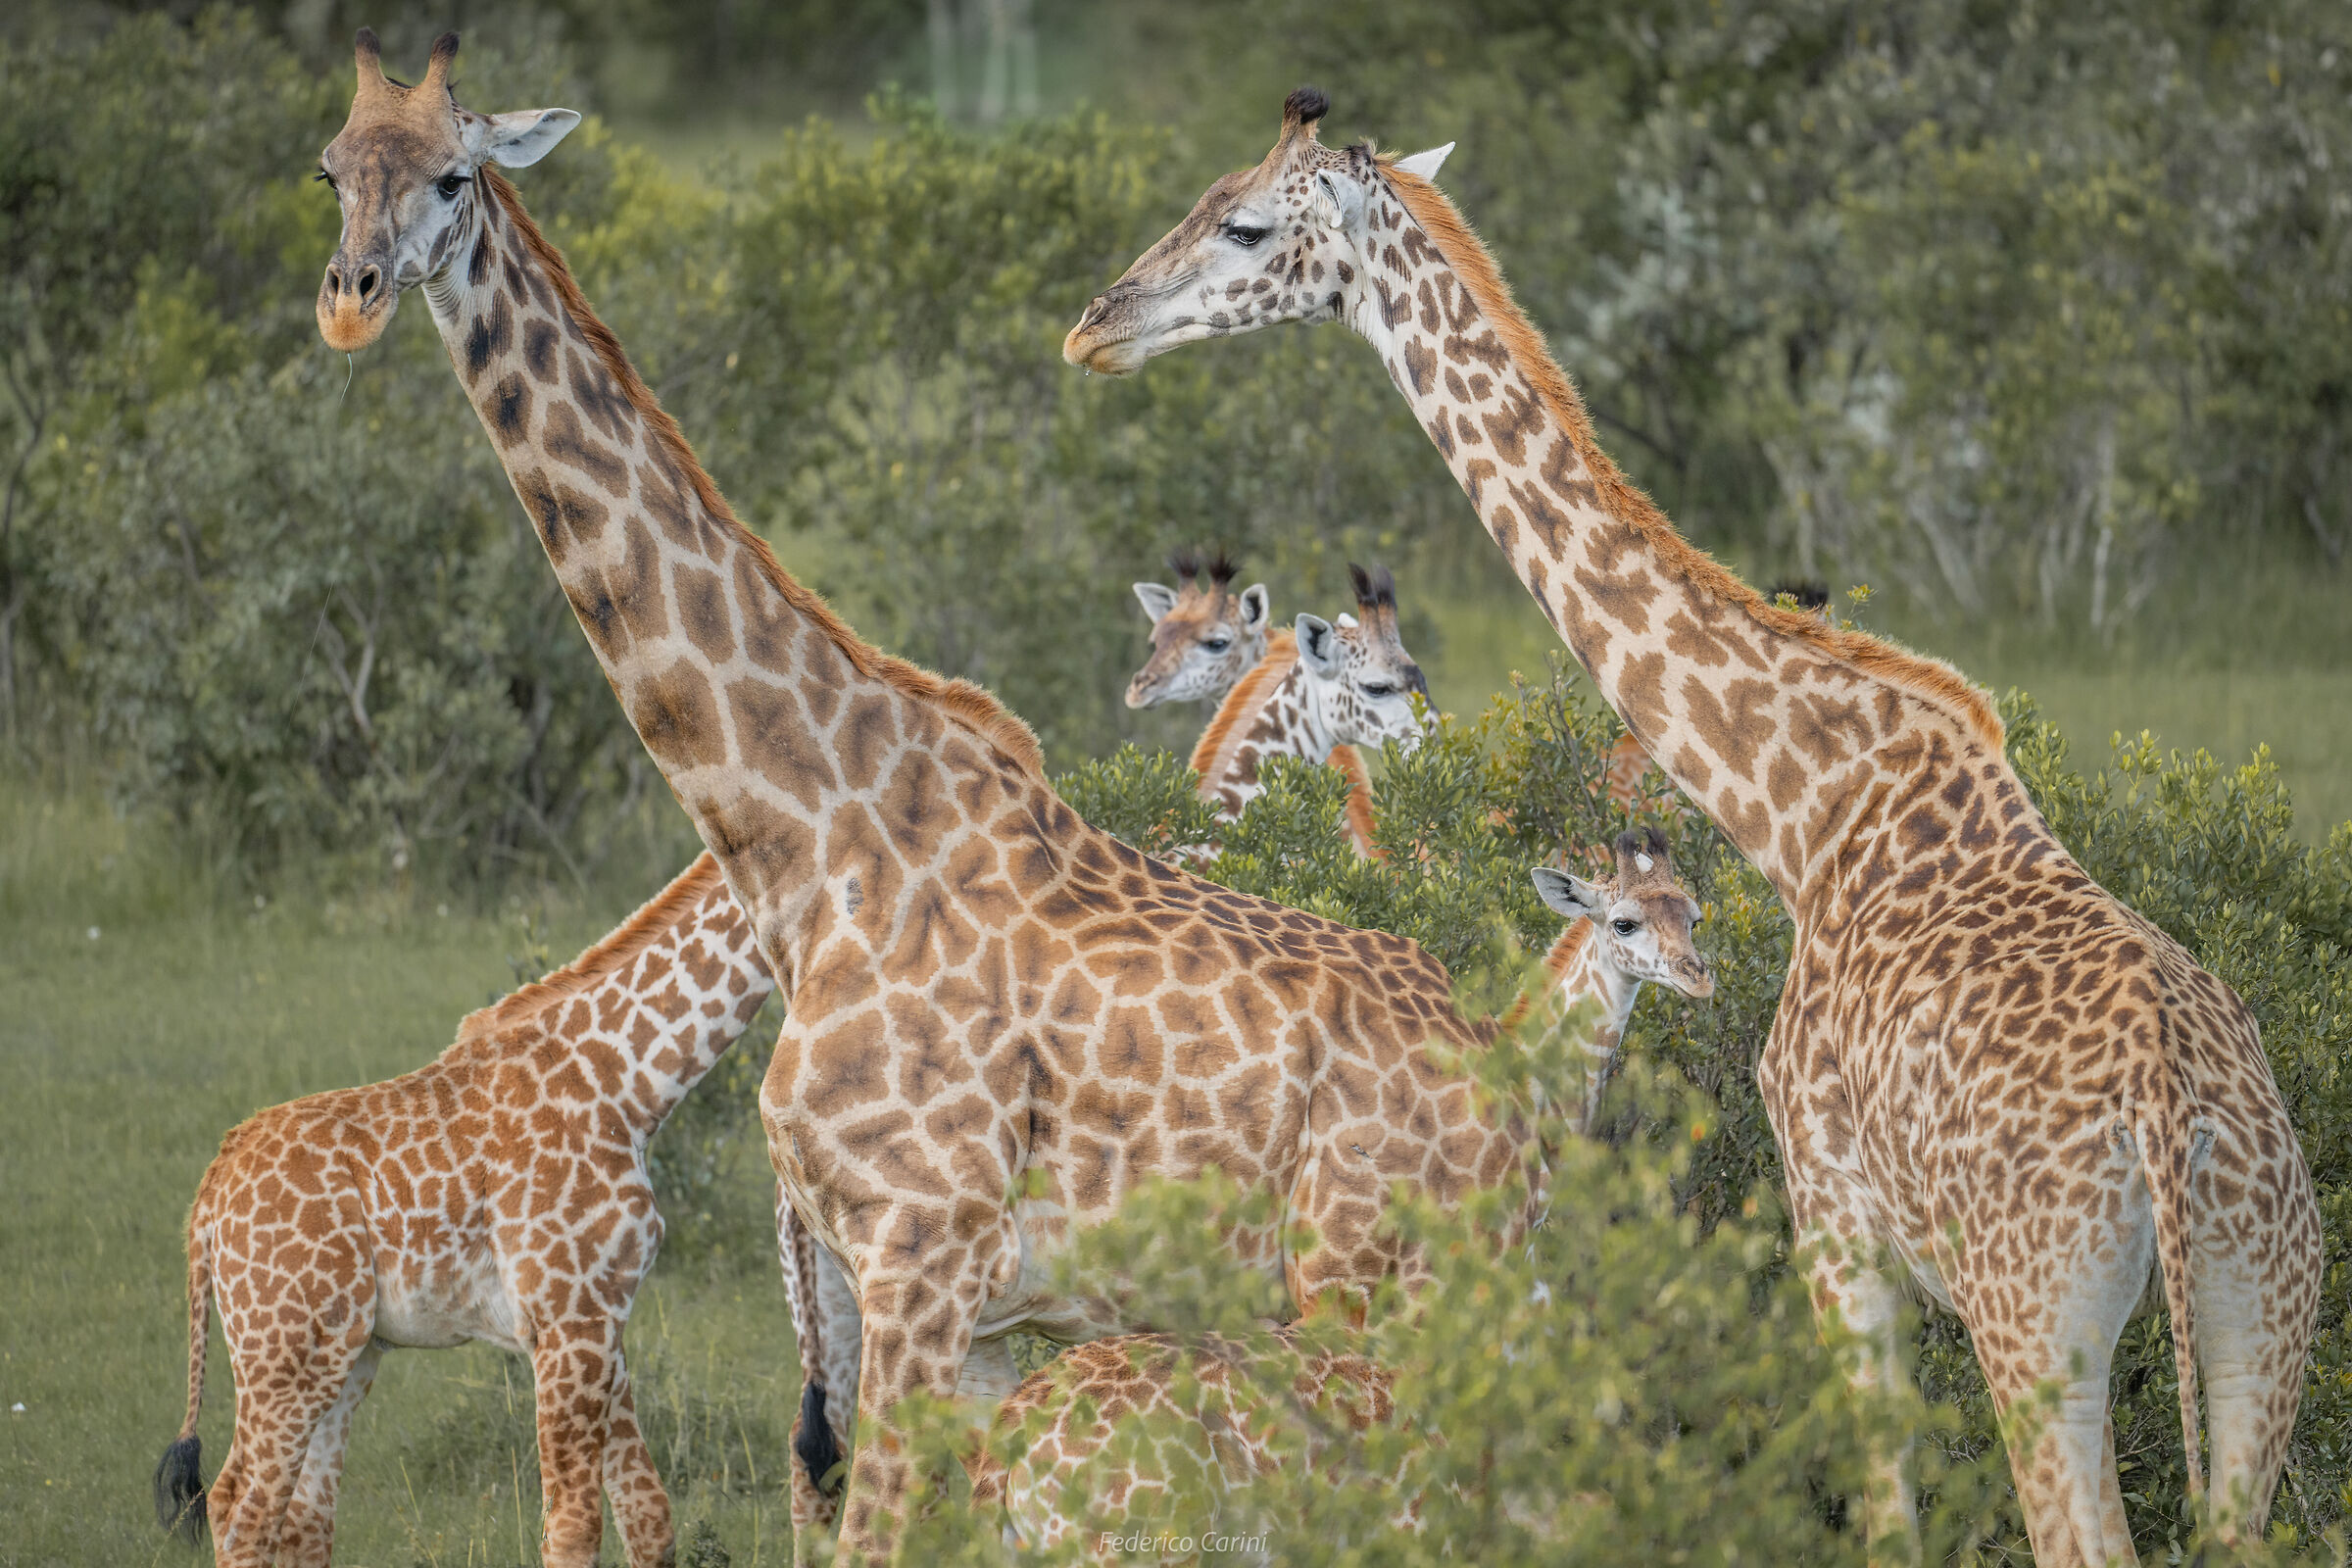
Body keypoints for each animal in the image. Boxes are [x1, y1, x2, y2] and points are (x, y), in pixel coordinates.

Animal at [149, 854, 771, 1568]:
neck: (627, 1083)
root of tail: (210, 1192)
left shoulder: (600, 1312)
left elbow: (648, 1515)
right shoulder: (568, 1317)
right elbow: (574, 1525)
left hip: (346, 1349)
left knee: (305, 1517)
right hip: (285, 1349)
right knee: (240, 1505)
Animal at [969, 830, 1714, 1553]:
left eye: (1695, 915)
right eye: (1623, 921)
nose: (1697, 975)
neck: (1529, 1081)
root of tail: (1009, 1457)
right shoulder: (1361, 1282)